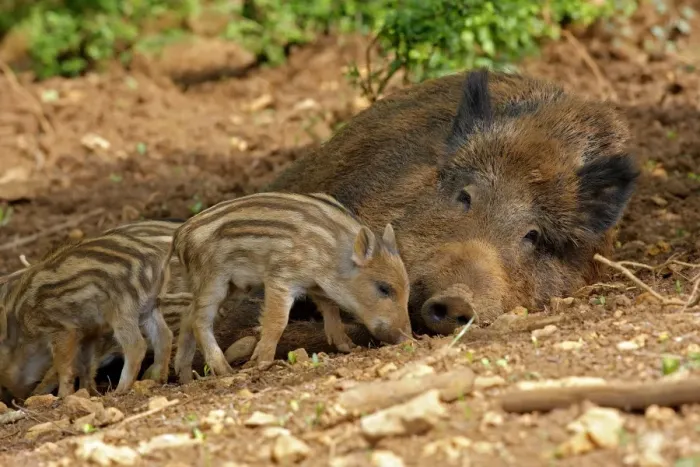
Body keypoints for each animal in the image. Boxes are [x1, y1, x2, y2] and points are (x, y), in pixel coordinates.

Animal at [169, 191, 411, 383]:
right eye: (384, 288)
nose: (408, 339)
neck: (331, 254)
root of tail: (179, 235)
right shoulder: (281, 278)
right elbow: (277, 321)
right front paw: (262, 362)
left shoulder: (314, 284)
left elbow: (330, 308)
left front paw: (348, 347)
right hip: (213, 279)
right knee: (200, 320)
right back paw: (224, 370)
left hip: (234, 287)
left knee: (188, 314)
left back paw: (185, 377)